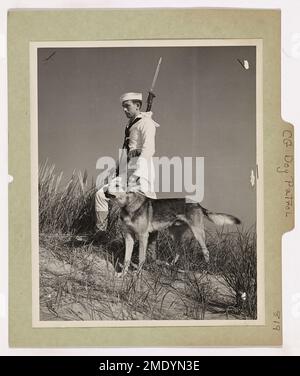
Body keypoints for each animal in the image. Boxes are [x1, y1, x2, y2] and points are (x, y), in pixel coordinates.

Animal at [104, 179, 240, 274]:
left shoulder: (143, 236)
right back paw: (171, 265)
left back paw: (206, 270)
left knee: (206, 252)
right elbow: (126, 259)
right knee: (179, 251)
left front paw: (137, 274)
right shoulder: (129, 237)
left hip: (198, 234)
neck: (129, 206)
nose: (104, 190)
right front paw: (122, 274)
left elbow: (142, 258)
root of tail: (197, 204)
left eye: (117, 185)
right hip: (174, 234)